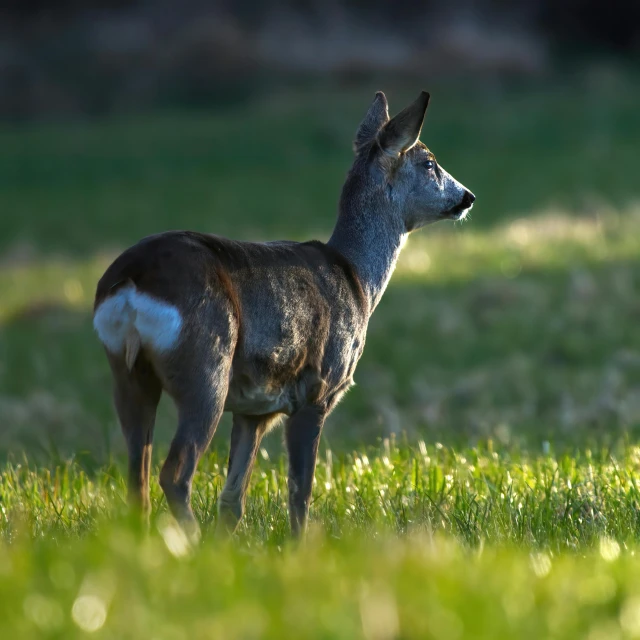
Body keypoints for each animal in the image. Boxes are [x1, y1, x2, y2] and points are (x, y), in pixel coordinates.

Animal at [94, 90, 476, 540]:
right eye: (429, 161)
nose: (468, 196)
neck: (358, 281)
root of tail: (131, 280)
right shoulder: (317, 388)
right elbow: (300, 492)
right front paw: (301, 548)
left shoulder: (254, 410)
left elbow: (233, 500)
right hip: (205, 366)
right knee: (174, 472)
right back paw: (190, 542)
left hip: (127, 371)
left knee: (137, 478)